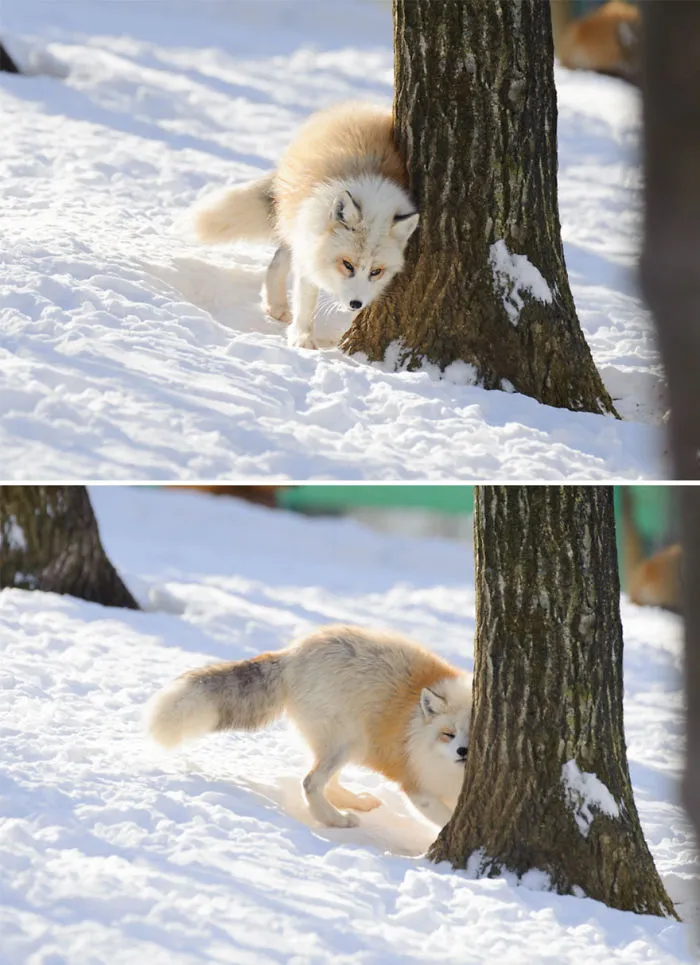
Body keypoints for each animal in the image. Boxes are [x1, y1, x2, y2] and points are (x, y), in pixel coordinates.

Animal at [146, 624, 472, 829]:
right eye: (449, 734)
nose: (464, 752)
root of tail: (292, 654)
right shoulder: (418, 787)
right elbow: (445, 822)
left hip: (351, 745)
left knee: (330, 782)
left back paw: (356, 804)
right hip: (345, 743)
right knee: (311, 782)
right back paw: (335, 820)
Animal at [192, 101, 419, 350]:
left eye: (376, 271)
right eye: (347, 264)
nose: (356, 304)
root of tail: (354, 106)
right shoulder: (310, 241)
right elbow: (306, 301)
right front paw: (302, 339)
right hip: (294, 221)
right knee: (279, 260)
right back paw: (277, 305)